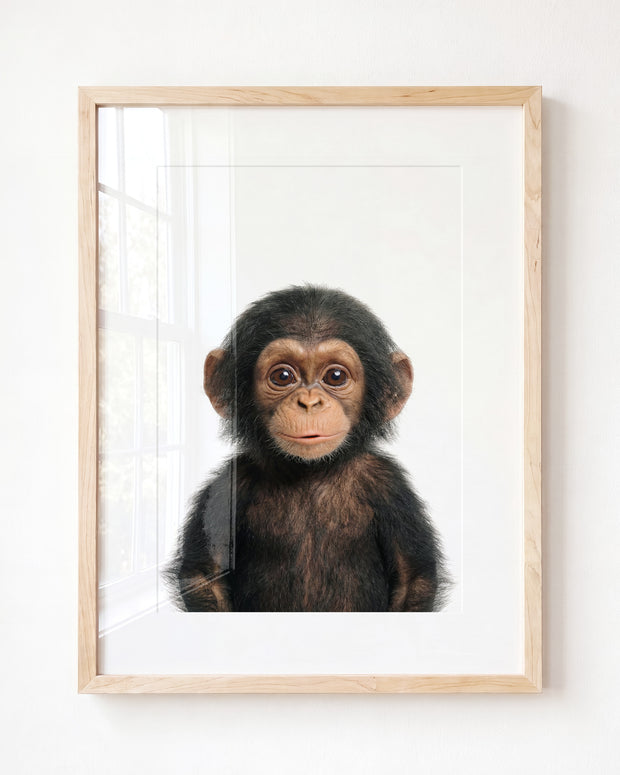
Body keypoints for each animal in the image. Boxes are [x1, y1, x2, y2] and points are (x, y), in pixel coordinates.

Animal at [167, 285, 449, 612]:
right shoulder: (227, 486)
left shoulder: (390, 486)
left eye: (335, 377)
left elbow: (412, 578)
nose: (310, 402)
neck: (311, 471)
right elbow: (205, 575)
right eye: (282, 376)